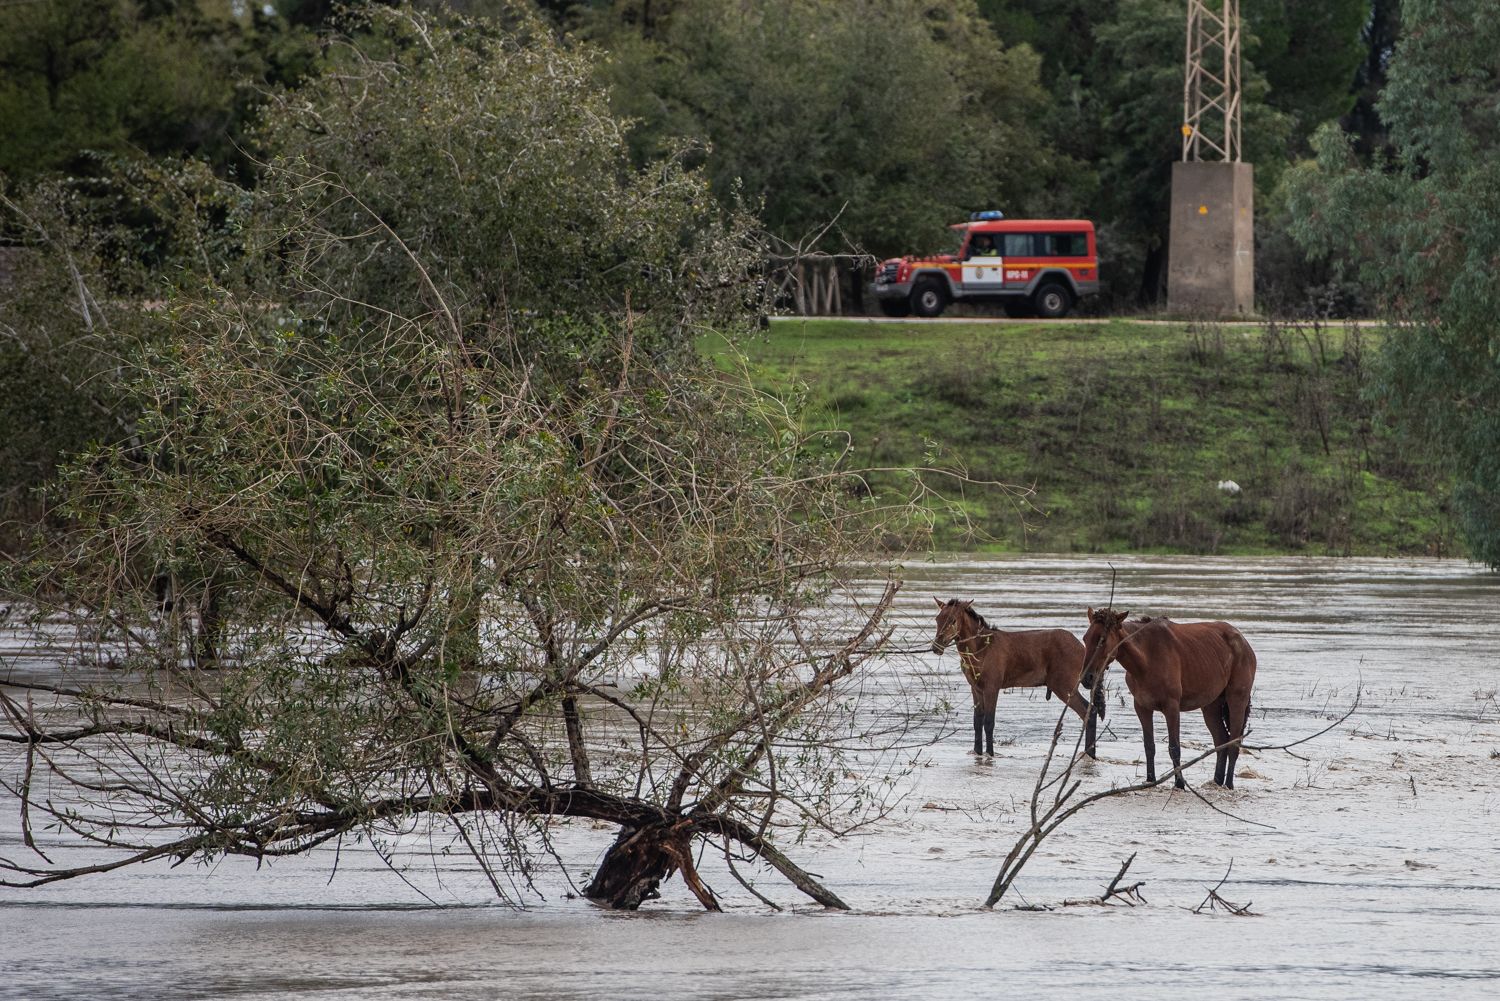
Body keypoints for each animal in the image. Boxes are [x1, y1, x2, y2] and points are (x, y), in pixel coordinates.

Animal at [924, 600, 1104, 756]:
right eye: (937, 619)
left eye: (953, 620)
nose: (936, 647)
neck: (979, 650)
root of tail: (1083, 649)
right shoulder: (975, 688)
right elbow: (977, 722)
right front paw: (977, 752)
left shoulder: (992, 687)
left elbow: (989, 722)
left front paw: (990, 753)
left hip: (1064, 685)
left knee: (1089, 711)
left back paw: (1090, 754)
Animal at [1086, 612, 1260, 792]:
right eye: (1085, 639)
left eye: (1102, 640)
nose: (1087, 678)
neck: (1147, 658)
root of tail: (1244, 643)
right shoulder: (1141, 707)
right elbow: (1149, 746)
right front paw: (1150, 780)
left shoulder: (1172, 707)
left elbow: (1174, 748)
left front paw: (1179, 783)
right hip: (1211, 705)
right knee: (1221, 740)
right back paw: (1217, 781)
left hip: (1237, 699)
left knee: (1234, 743)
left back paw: (1228, 784)